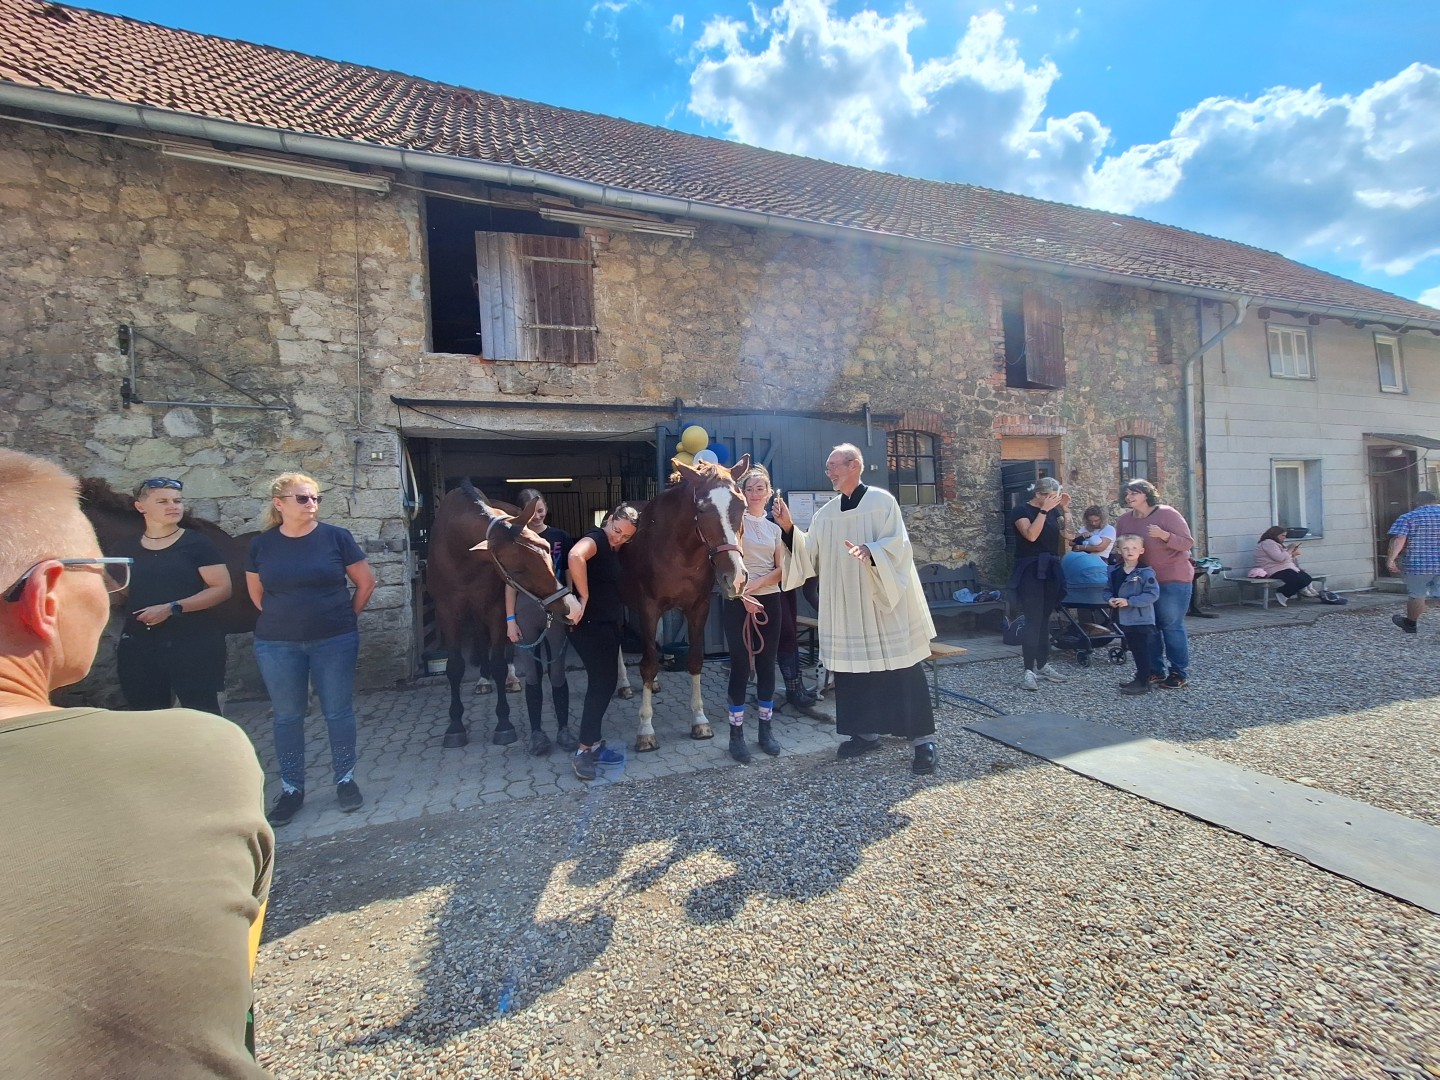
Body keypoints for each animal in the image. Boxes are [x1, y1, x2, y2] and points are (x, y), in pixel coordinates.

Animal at [420, 483, 578, 748]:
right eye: (518, 569)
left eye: (547, 549)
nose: (569, 607)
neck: (459, 551)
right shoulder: (447, 611)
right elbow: (454, 667)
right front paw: (455, 726)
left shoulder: (496, 609)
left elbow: (499, 664)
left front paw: (504, 724)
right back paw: (483, 681)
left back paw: (512, 680)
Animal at [622, 457, 754, 754]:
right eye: (702, 509)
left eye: (742, 506)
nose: (736, 578)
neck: (680, 552)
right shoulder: (648, 608)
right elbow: (648, 664)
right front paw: (645, 730)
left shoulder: (698, 608)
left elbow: (694, 661)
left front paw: (700, 721)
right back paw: (623, 685)